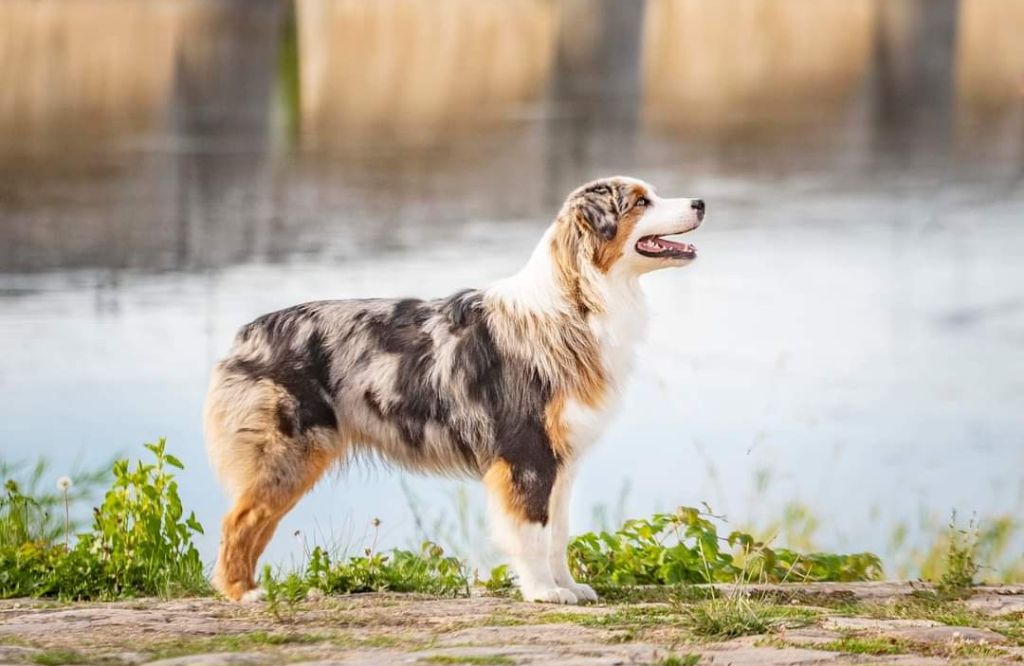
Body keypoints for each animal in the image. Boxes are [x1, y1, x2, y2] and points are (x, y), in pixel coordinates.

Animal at [206, 176, 704, 602]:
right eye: (641, 202)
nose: (700, 202)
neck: (576, 304)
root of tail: (248, 332)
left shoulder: (561, 460)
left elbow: (557, 532)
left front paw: (568, 586)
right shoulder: (526, 452)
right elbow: (532, 531)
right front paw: (543, 592)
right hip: (286, 453)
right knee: (238, 521)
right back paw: (241, 593)